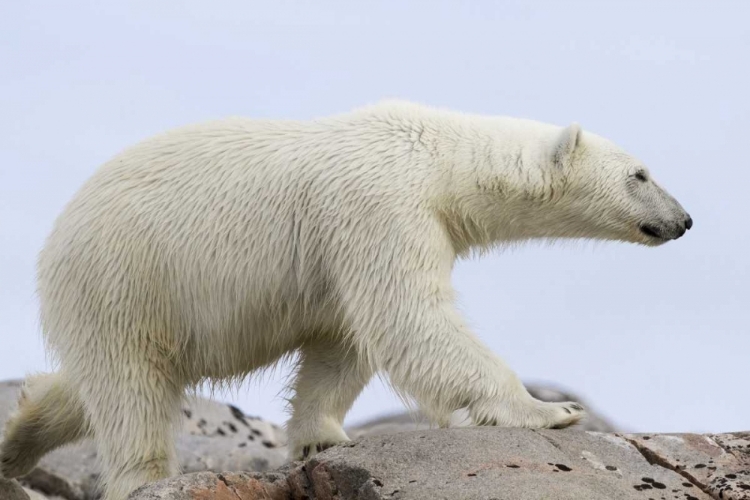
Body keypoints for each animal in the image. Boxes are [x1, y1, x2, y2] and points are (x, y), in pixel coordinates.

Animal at [0, 99, 692, 498]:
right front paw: (550, 410)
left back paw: (16, 441)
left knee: (90, 386)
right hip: (125, 275)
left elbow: (343, 340)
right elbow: (408, 318)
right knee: (131, 390)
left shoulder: (344, 244)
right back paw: (142, 476)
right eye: (640, 173)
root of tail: (59, 234)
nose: (684, 220)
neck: (436, 158)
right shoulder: (379, 206)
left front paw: (320, 439)